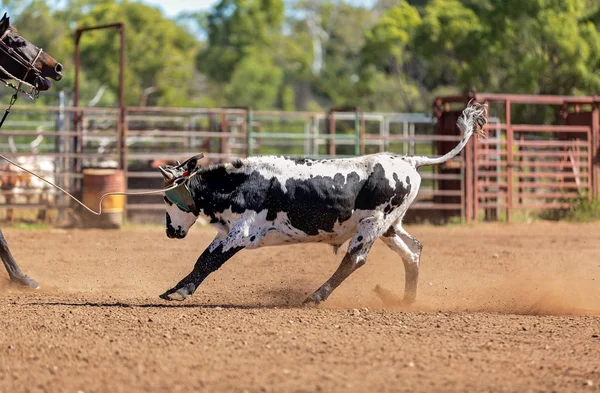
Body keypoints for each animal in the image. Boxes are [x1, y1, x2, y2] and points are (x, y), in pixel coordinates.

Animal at [159, 103, 488, 304]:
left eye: (166, 197)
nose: (170, 231)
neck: (241, 183)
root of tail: (409, 160)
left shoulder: (241, 233)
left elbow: (209, 261)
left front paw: (179, 292)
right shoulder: (225, 232)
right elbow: (202, 259)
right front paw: (174, 289)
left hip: (373, 225)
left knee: (354, 260)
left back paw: (316, 296)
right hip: (390, 227)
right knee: (414, 251)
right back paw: (405, 300)